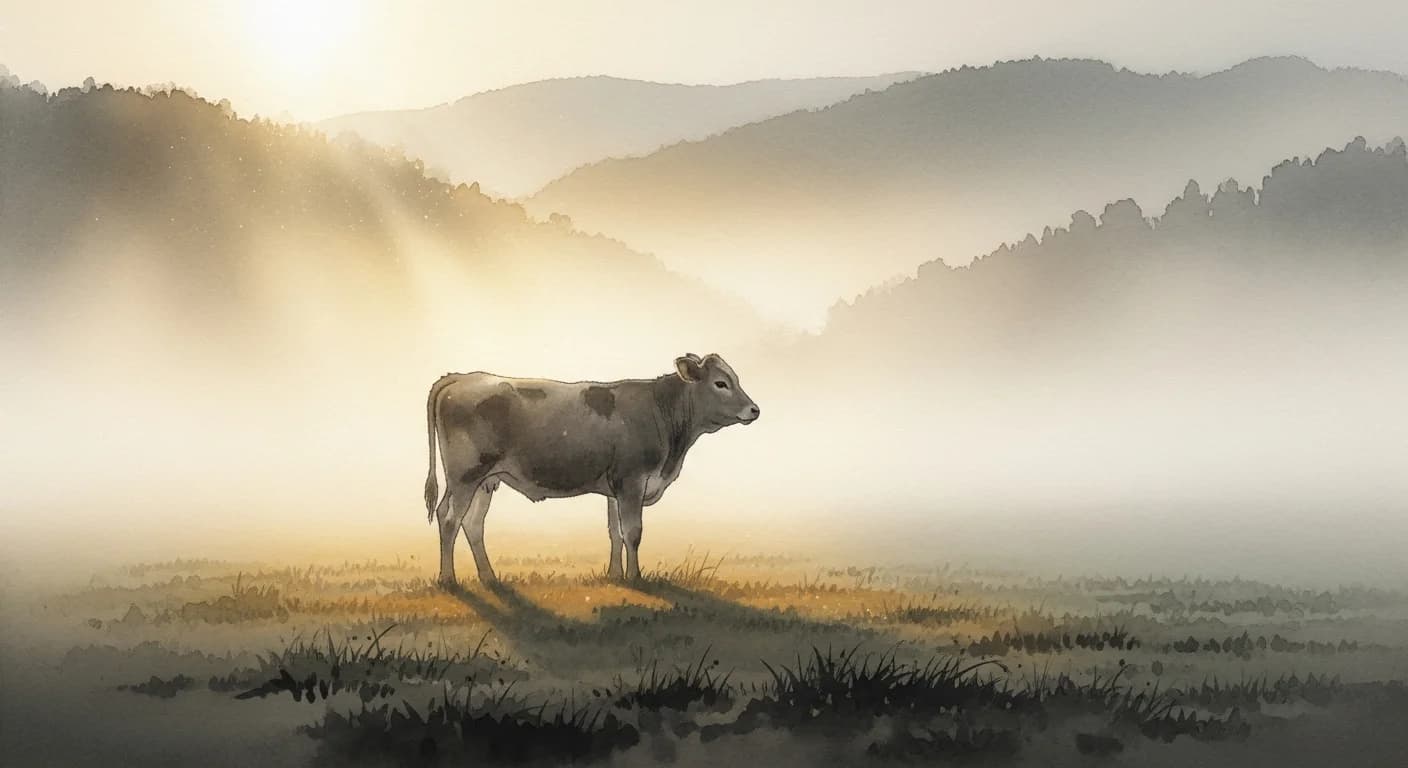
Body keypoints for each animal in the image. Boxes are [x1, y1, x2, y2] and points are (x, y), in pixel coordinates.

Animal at [423, 353, 759, 585]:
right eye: (721, 383)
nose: (754, 410)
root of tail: (461, 377)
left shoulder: (615, 487)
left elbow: (615, 532)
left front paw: (614, 575)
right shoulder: (632, 481)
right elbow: (633, 532)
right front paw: (635, 577)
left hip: (484, 480)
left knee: (469, 523)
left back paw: (489, 577)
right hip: (466, 475)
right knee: (451, 521)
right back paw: (448, 579)